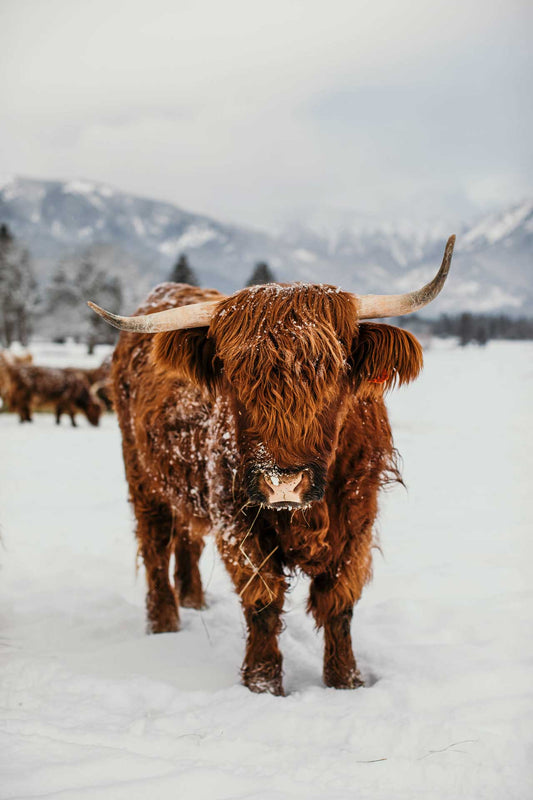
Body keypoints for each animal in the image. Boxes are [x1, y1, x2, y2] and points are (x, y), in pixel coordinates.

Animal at [90, 234, 454, 692]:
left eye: (336, 371)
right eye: (232, 374)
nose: (283, 483)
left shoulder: (357, 520)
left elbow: (339, 601)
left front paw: (345, 680)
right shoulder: (236, 519)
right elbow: (262, 598)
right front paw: (262, 682)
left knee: (187, 536)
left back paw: (194, 600)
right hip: (141, 474)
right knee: (155, 543)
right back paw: (164, 623)